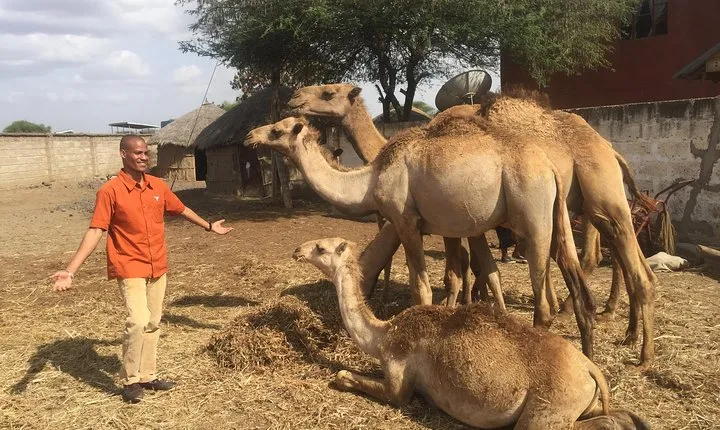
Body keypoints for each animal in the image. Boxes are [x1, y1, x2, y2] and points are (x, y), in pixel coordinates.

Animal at [245, 116, 597, 358]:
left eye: (277, 130)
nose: (250, 135)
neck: (370, 179)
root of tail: (549, 165)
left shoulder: (406, 222)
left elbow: (421, 289)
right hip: (557, 216)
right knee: (574, 274)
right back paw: (587, 352)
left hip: (533, 216)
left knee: (544, 299)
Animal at [289, 84, 657, 368]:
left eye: (328, 92)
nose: (294, 97)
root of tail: (608, 147)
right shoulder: (460, 223)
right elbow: (470, 270)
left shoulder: (445, 222)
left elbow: (462, 271)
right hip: (581, 211)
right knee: (620, 262)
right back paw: (621, 331)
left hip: (601, 199)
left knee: (619, 262)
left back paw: (639, 353)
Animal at [292, 237, 650, 430]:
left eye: (321, 248)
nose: (297, 251)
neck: (384, 333)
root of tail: (589, 368)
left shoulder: (399, 378)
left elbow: (353, 379)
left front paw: (340, 377)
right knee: (619, 416)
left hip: (548, 410)